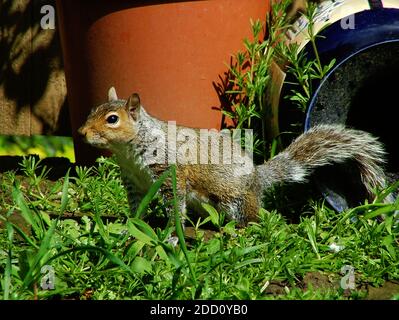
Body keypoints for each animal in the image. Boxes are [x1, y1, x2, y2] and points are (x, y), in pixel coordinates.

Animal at [79, 87, 390, 226]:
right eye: (92, 109)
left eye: (112, 119)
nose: (81, 133)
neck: (129, 151)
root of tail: (257, 180)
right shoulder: (133, 181)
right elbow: (136, 207)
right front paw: (130, 226)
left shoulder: (169, 174)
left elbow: (174, 206)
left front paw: (171, 235)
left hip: (234, 200)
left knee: (253, 217)